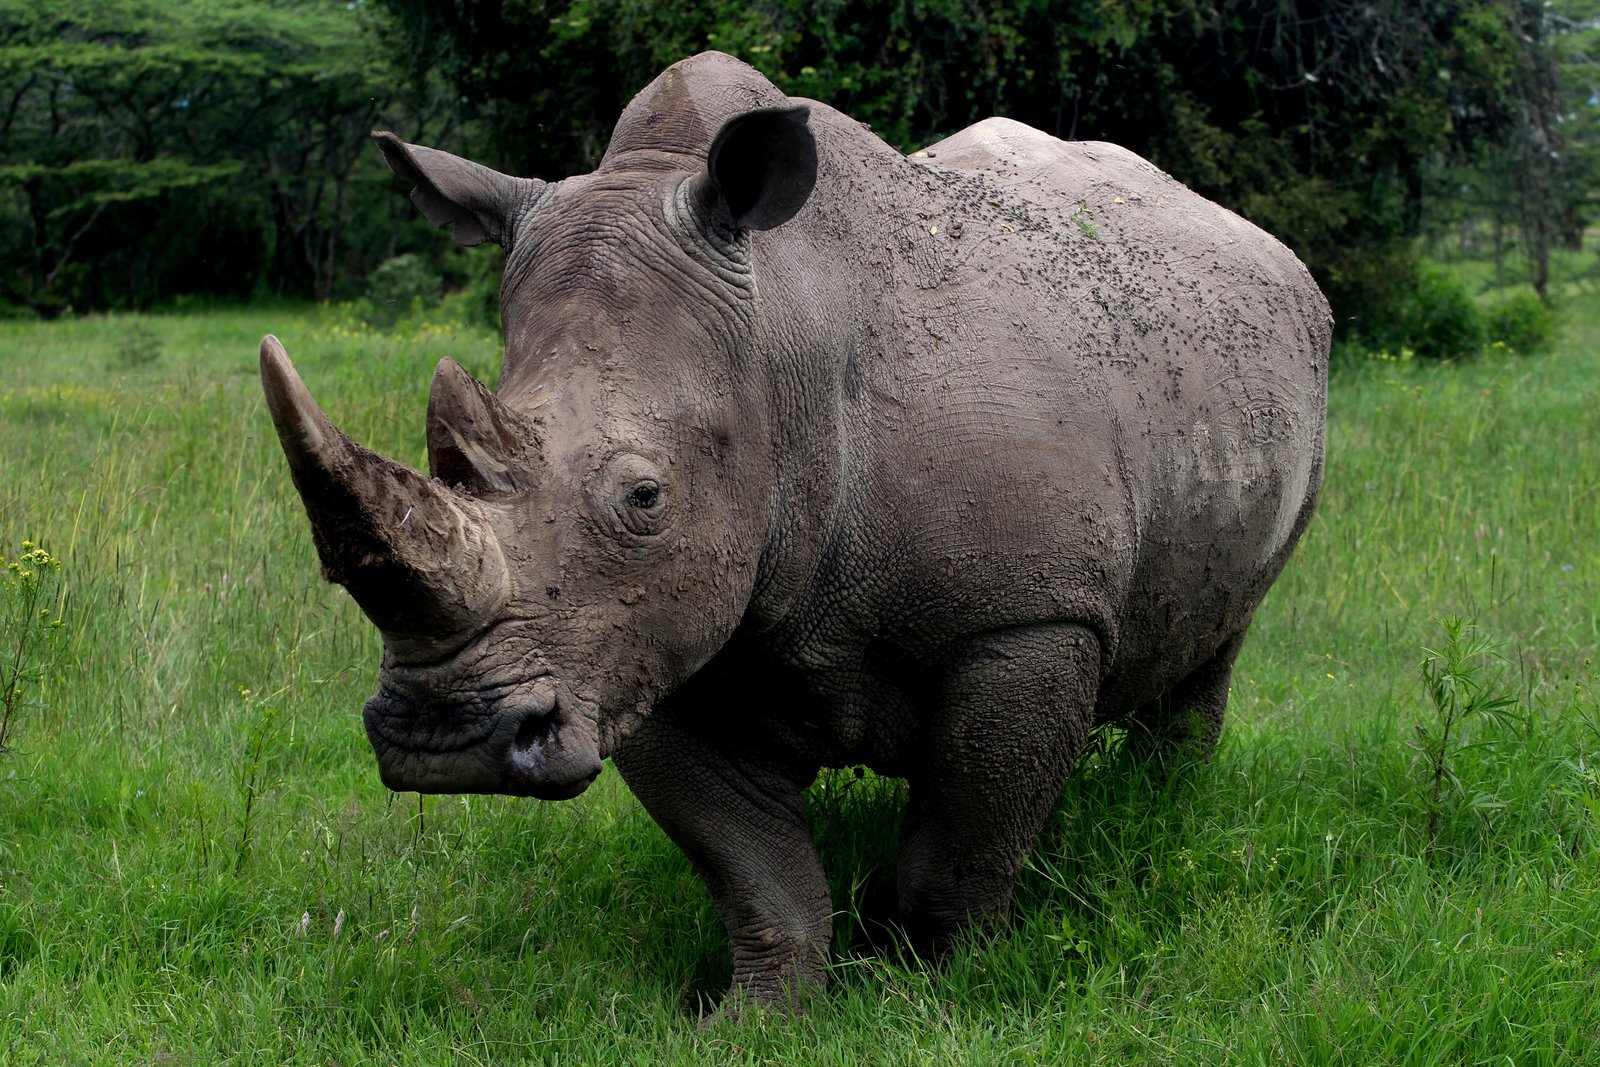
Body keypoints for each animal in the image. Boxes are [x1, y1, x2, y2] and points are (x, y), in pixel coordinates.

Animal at [260, 51, 1328, 1009]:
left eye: (645, 497)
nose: (444, 740)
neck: (781, 345)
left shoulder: (1029, 613)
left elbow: (964, 844)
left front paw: (938, 993)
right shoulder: (644, 634)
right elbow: (755, 871)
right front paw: (757, 1015)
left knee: (1219, 638)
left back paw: (1161, 809)